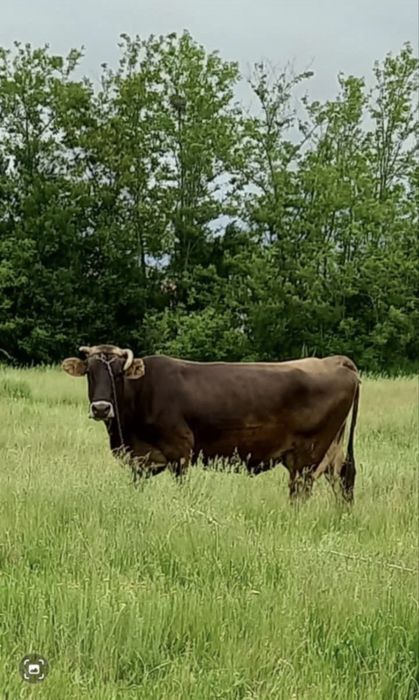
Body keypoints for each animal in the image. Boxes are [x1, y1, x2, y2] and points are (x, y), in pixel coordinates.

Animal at [62, 345, 360, 502]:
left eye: (118, 374)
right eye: (90, 372)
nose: (101, 408)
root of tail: (335, 361)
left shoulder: (180, 451)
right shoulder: (141, 460)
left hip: (308, 455)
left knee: (301, 491)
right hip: (330, 452)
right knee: (342, 480)